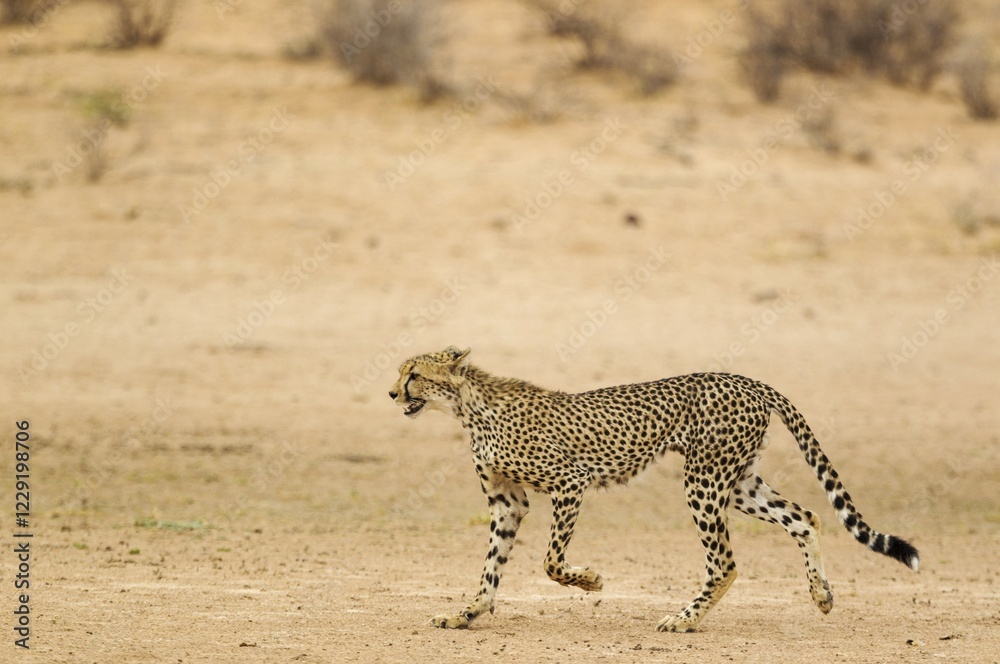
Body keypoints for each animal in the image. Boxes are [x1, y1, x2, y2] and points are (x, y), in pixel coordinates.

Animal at [388, 346, 919, 632]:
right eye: (401, 372)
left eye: (414, 374)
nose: (392, 393)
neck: (469, 408)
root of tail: (747, 379)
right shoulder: (508, 503)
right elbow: (491, 568)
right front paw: (467, 614)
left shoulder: (570, 483)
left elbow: (551, 562)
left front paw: (591, 581)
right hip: (738, 483)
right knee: (805, 518)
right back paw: (821, 595)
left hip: (704, 482)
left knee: (724, 563)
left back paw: (684, 620)